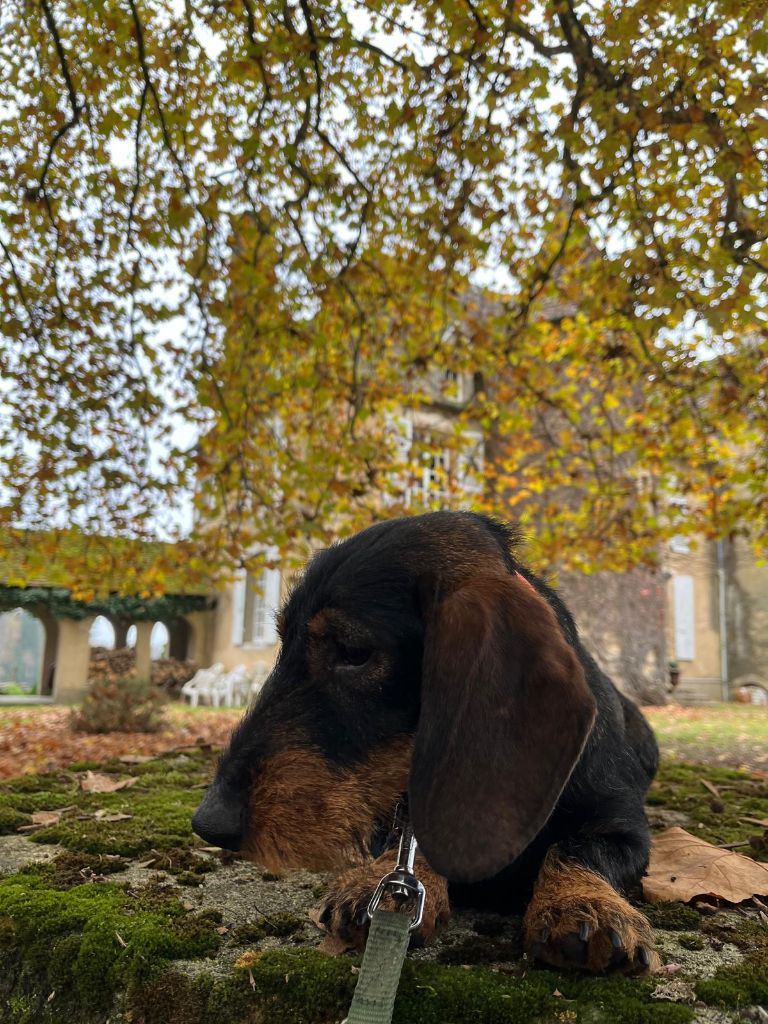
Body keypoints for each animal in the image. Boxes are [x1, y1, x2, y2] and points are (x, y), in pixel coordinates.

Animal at [193, 516, 663, 970]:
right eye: (282, 642)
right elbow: (407, 843)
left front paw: (582, 905)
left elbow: (578, 848)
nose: (207, 822)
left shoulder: (623, 826)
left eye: (354, 651)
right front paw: (377, 884)